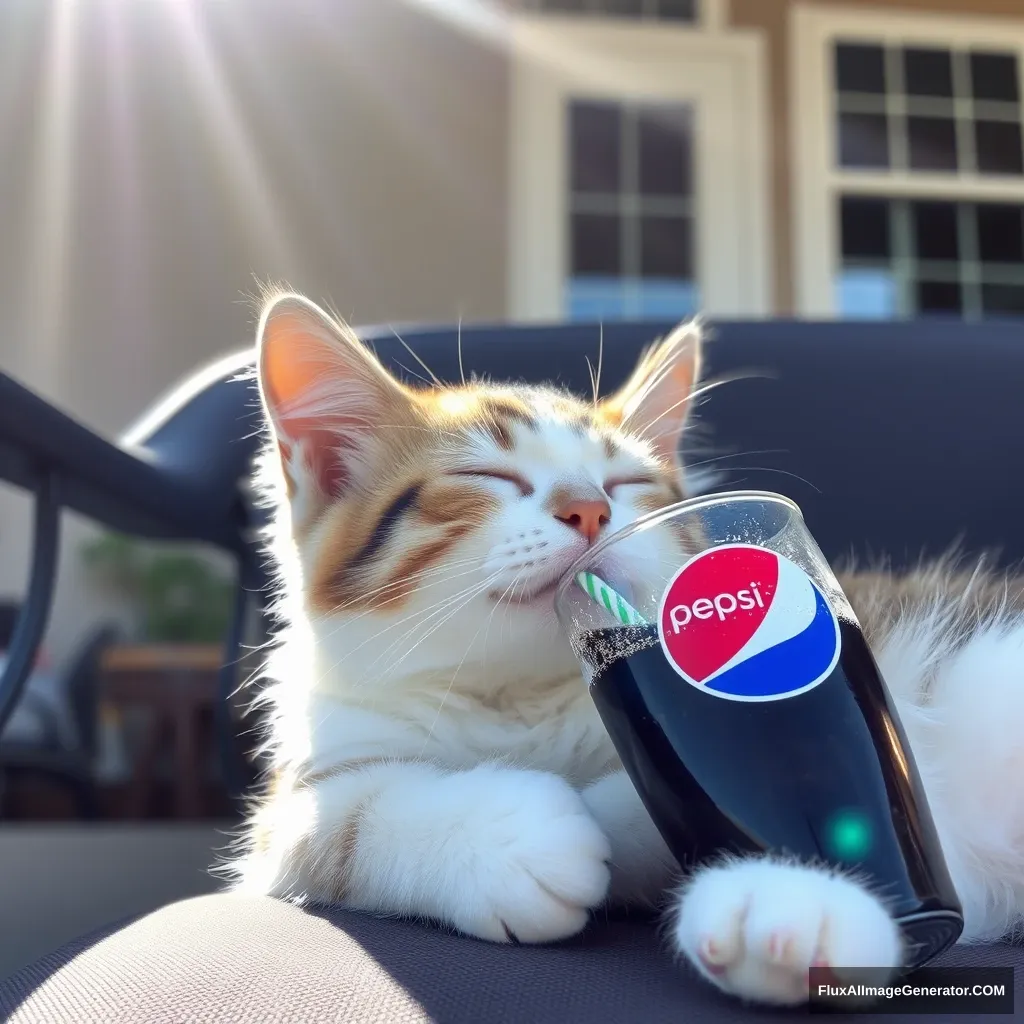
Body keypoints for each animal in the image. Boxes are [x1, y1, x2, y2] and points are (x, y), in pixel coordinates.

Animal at [228, 290, 1024, 1007]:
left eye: (627, 483)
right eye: (487, 476)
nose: (589, 508)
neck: (514, 698)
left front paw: (790, 886)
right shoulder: (306, 784)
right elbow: (338, 821)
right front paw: (509, 837)